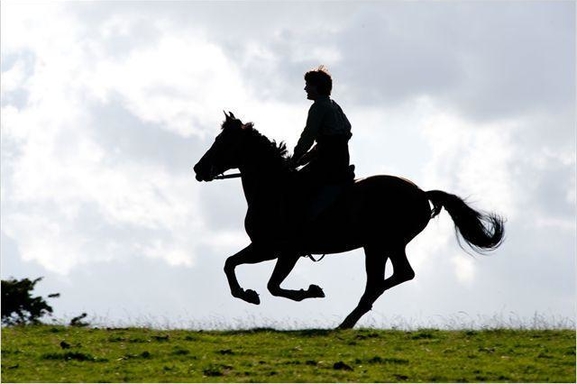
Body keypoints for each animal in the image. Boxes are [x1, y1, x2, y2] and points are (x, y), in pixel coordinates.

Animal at [194, 112, 504, 330]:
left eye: (222, 143)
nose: (198, 169)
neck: (274, 188)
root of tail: (422, 193)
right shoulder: (267, 248)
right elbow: (231, 264)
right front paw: (248, 294)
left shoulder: (280, 250)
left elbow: (270, 284)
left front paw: (307, 291)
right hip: (384, 246)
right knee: (396, 276)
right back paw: (352, 316)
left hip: (381, 245)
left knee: (384, 279)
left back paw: (348, 318)